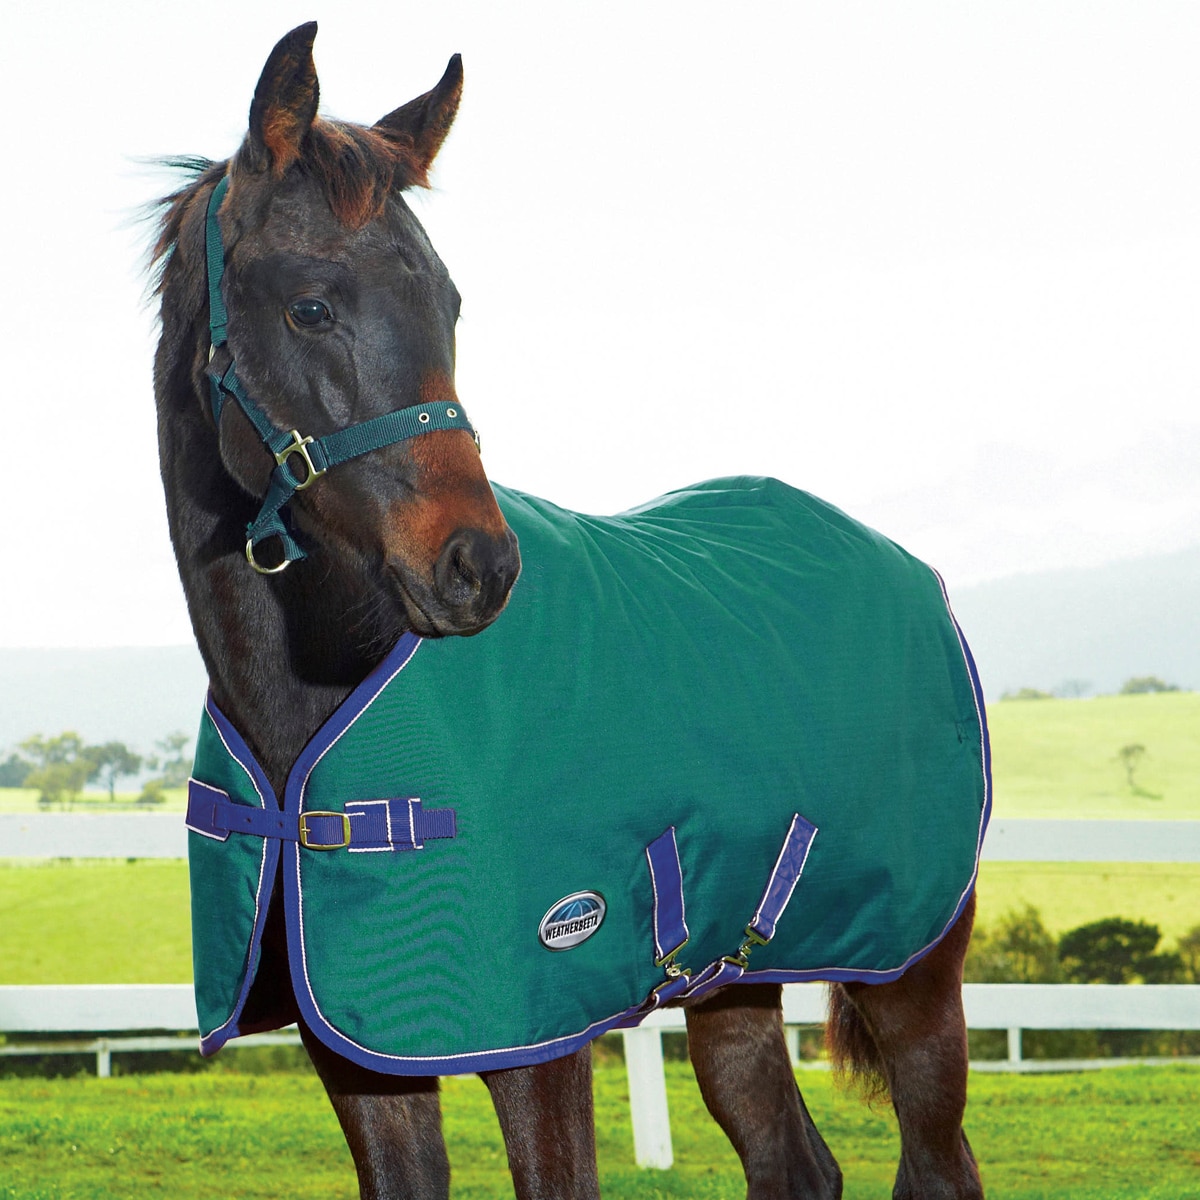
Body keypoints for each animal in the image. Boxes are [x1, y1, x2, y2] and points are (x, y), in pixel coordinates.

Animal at [151, 22, 986, 1199]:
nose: (478, 567)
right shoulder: (359, 1050)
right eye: (310, 306)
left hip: (913, 971)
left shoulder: (539, 1040)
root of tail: (908, 568)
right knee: (793, 1161)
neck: (309, 710)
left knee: (938, 1159)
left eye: (450, 304)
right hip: (734, 984)